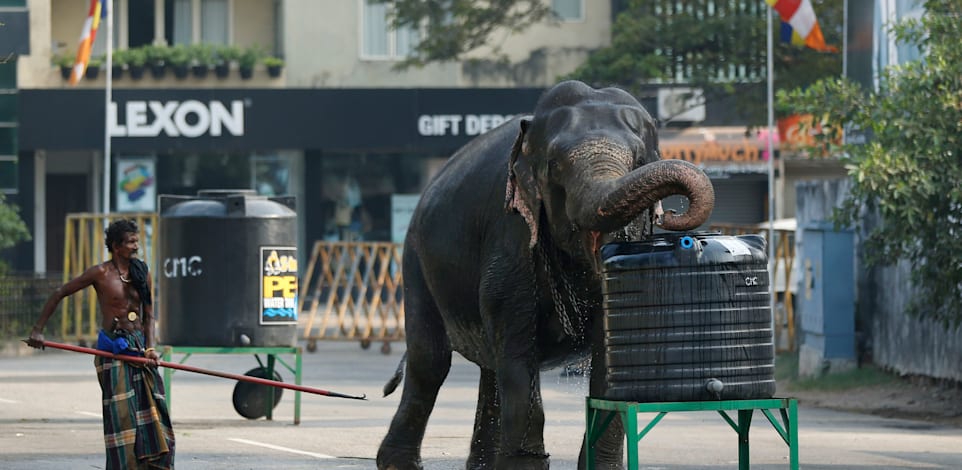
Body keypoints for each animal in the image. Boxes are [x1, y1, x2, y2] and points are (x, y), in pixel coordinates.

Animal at [376, 81, 712, 470]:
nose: (672, 214)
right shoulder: (511, 232)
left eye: (640, 161)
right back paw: (397, 463)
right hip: (416, 260)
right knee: (430, 361)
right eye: (555, 167)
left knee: (490, 369)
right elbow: (518, 347)